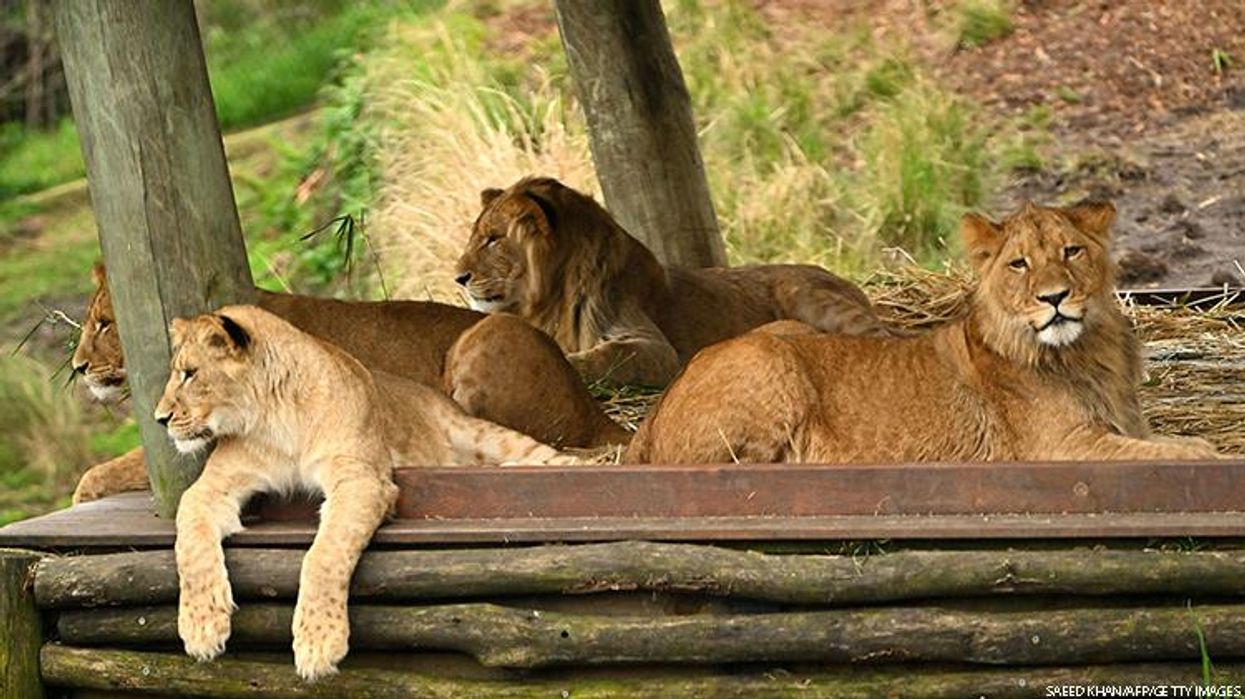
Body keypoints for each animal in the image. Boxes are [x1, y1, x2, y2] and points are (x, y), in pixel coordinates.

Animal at [163, 305, 577, 681]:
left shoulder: (360, 478)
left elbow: (324, 554)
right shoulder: (212, 486)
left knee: (552, 456)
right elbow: (189, 540)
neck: (273, 418)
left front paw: (318, 642)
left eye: (189, 374)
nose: (159, 419)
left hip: (480, 433)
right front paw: (200, 625)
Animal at [453, 176, 891, 387]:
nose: (458, 277)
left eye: (493, 238)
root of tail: (846, 279)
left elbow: (606, 356)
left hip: (807, 294)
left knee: (885, 338)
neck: (553, 296)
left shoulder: (657, 350)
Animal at [626, 201, 1220, 465]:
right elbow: (1189, 456)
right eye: (1020, 264)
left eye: (1072, 251)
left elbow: (1188, 443)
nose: (1054, 297)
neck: (1088, 352)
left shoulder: (1124, 429)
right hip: (771, 362)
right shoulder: (1062, 448)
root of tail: (652, 414)